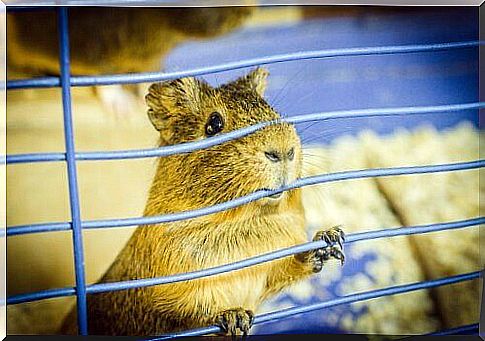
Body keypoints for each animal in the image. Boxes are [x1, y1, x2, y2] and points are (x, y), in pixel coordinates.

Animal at [57, 66, 344, 334]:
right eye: (213, 124)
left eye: (273, 111)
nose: (283, 150)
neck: (249, 223)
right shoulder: (176, 293)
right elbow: (196, 312)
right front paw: (236, 319)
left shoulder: (268, 273)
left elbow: (290, 267)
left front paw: (331, 241)